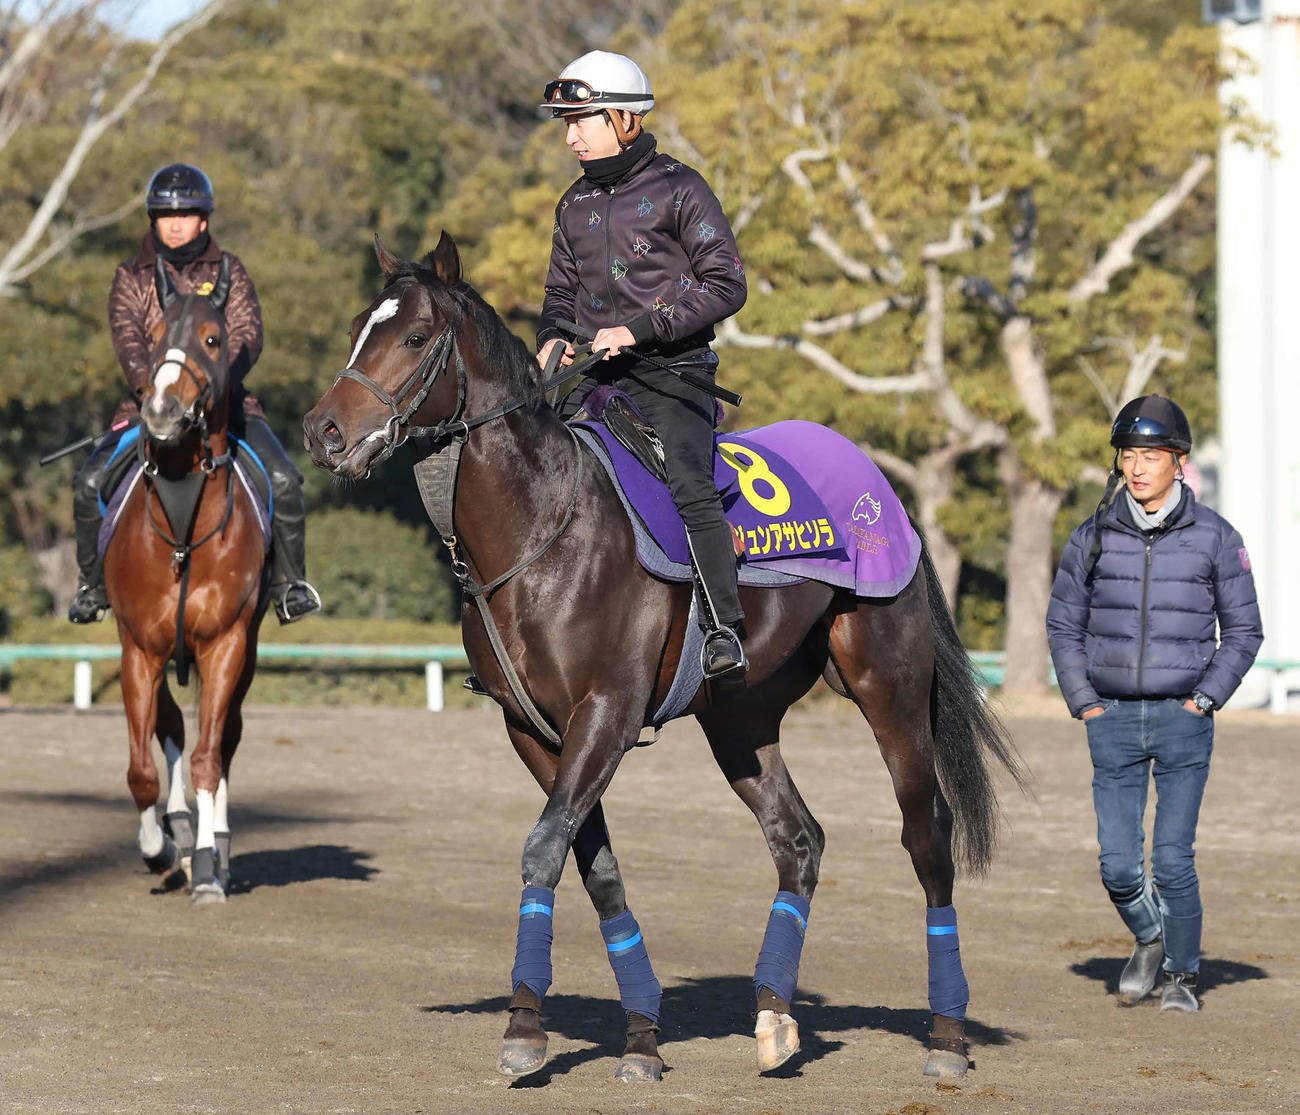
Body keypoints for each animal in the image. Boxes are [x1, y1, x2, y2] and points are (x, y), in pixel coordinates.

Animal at [103, 269, 269, 904]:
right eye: (152, 338)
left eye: (213, 339)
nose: (162, 409)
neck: (180, 527)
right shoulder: (138, 649)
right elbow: (142, 769)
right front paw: (160, 851)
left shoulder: (226, 644)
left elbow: (208, 757)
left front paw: (203, 864)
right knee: (172, 729)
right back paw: (174, 829)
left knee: (223, 742)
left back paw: (215, 846)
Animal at [303, 232, 1024, 1082]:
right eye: (359, 327)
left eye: (413, 337)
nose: (322, 430)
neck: (544, 526)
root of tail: (882, 489)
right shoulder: (534, 730)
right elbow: (594, 865)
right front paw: (640, 1035)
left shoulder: (606, 716)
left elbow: (542, 850)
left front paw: (526, 1028)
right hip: (741, 720)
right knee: (798, 840)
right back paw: (775, 1017)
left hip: (893, 694)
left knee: (927, 839)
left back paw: (946, 1035)